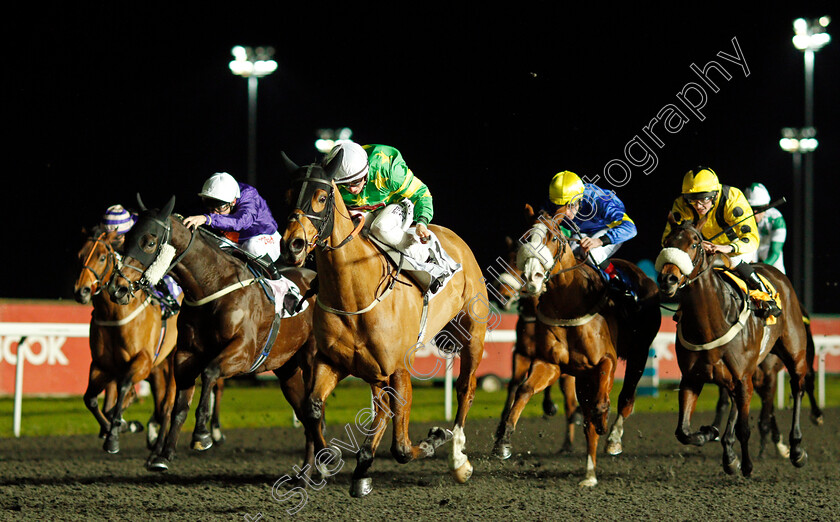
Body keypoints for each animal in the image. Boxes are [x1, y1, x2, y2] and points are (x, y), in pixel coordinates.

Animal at [109, 196, 318, 472]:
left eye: (150, 241)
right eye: (128, 238)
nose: (118, 288)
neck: (213, 285)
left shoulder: (243, 352)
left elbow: (209, 373)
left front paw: (202, 435)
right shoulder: (185, 355)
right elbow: (179, 407)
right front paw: (163, 455)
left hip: (313, 361)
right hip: (288, 369)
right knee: (306, 414)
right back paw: (313, 467)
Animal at [278, 151, 486, 496]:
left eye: (321, 197)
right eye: (288, 194)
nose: (292, 245)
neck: (354, 294)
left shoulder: (399, 368)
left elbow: (401, 447)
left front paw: (432, 441)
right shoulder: (331, 361)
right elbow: (313, 407)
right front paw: (330, 460)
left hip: (472, 334)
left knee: (465, 389)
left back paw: (458, 459)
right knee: (381, 405)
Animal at [488, 235, 580, 446]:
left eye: (521, 267)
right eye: (505, 262)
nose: (501, 297)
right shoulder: (521, 354)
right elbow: (514, 385)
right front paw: (501, 429)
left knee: (571, 403)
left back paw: (569, 443)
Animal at [656, 212, 808, 476]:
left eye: (694, 244)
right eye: (666, 243)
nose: (668, 279)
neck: (711, 321)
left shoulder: (743, 376)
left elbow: (744, 428)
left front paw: (746, 464)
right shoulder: (692, 378)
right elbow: (683, 431)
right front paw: (710, 434)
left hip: (793, 353)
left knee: (797, 387)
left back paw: (796, 449)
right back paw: (727, 450)